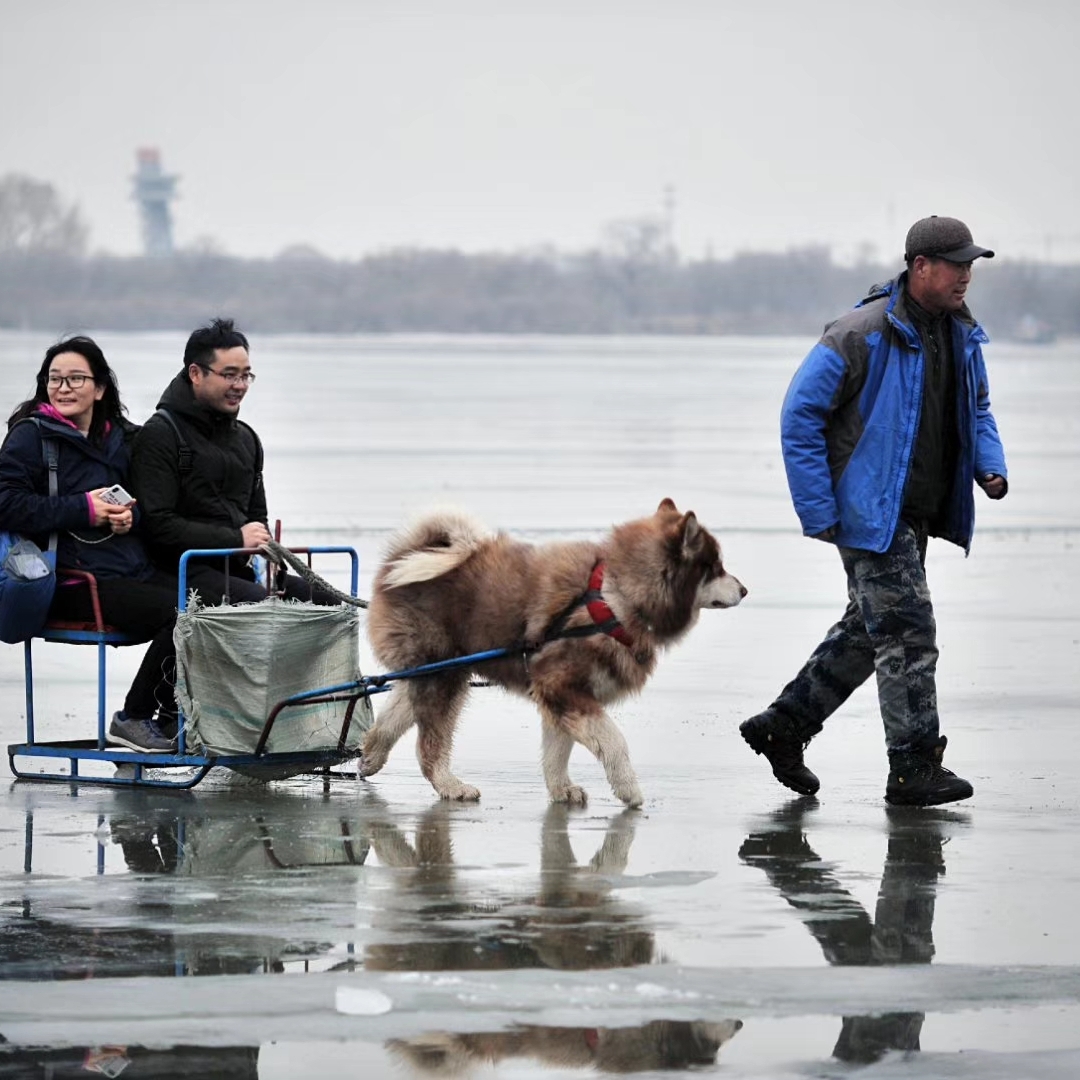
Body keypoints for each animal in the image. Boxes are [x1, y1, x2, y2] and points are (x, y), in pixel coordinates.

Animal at [358, 494, 747, 803]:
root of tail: (401, 559)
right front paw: (628, 789)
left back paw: (371, 755)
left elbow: (557, 753)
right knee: (430, 745)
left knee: (395, 714)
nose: (744, 590)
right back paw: (450, 785)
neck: (614, 598)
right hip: (444, 675)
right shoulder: (563, 687)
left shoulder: (559, 696)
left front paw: (562, 790)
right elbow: (614, 740)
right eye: (716, 568)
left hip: (436, 670)